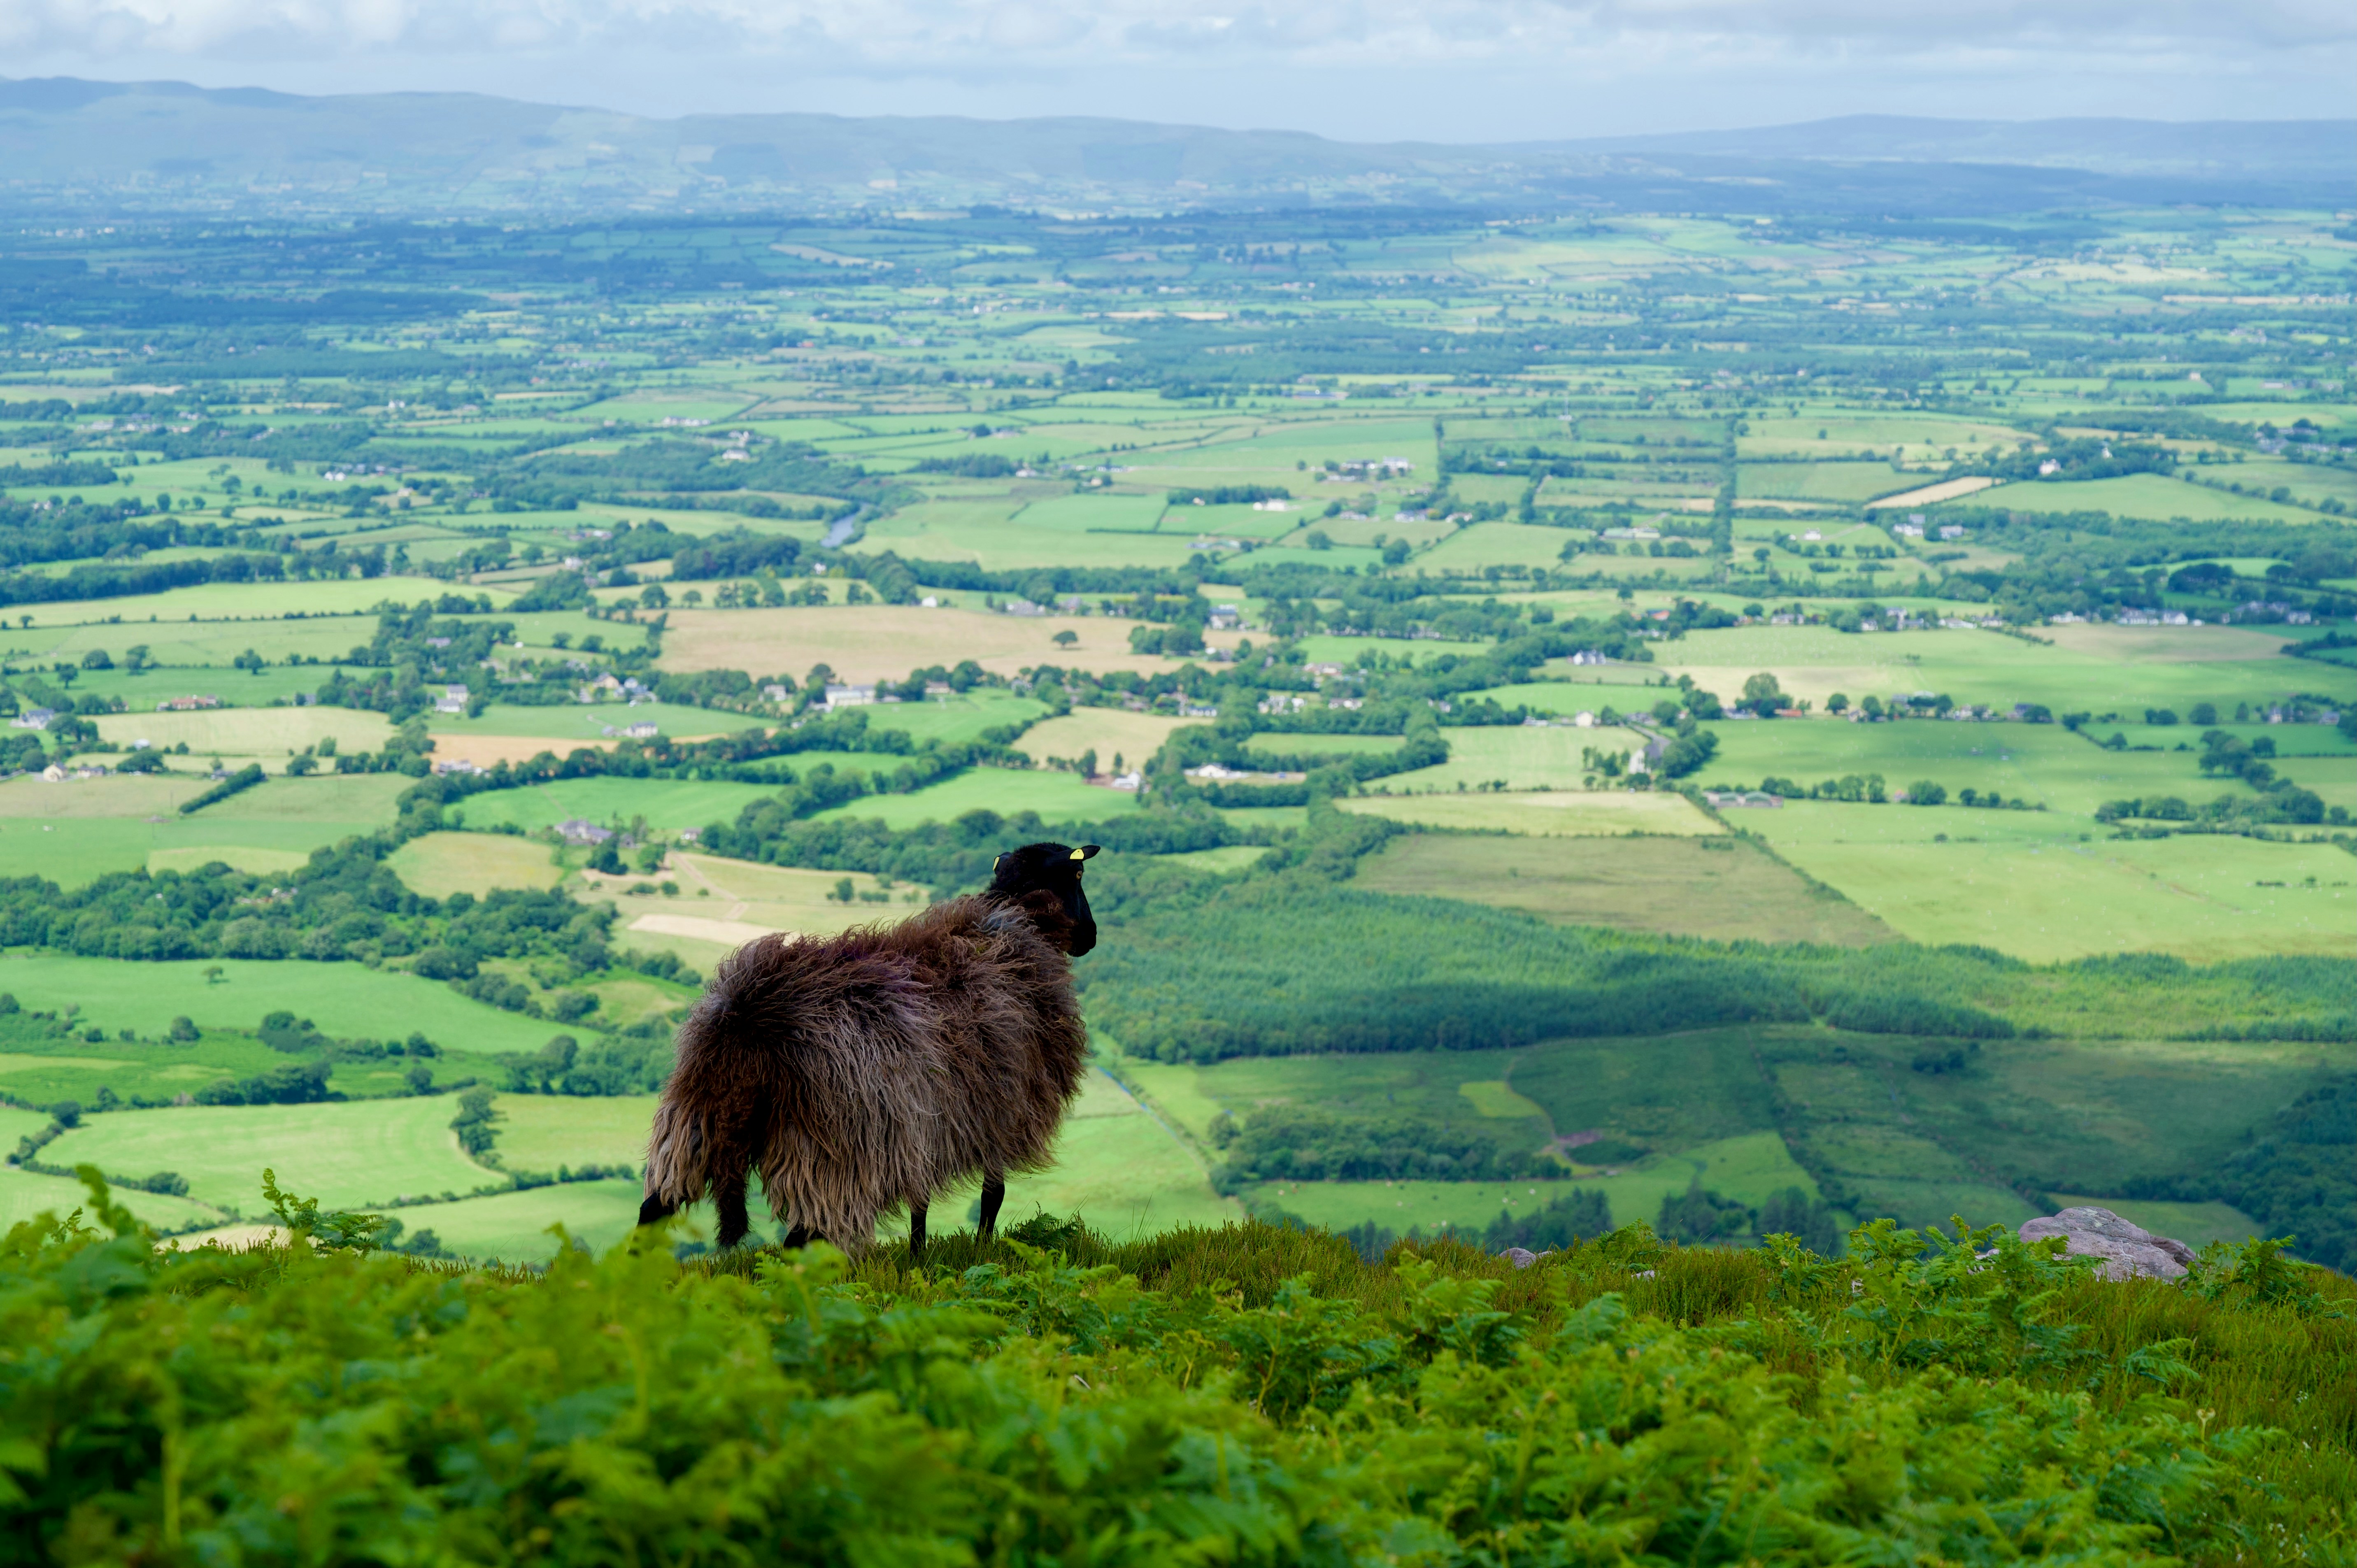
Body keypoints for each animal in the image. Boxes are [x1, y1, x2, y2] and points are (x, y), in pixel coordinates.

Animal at [637, 841, 1099, 1260]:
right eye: (1077, 874)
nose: (1091, 937)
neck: (1020, 924)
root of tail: (755, 1025)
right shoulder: (1001, 1115)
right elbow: (993, 1195)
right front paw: (982, 1251)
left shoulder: (923, 1129)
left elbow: (921, 1204)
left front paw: (917, 1255)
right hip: (831, 1153)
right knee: (800, 1241)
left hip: (696, 1116)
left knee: (654, 1209)